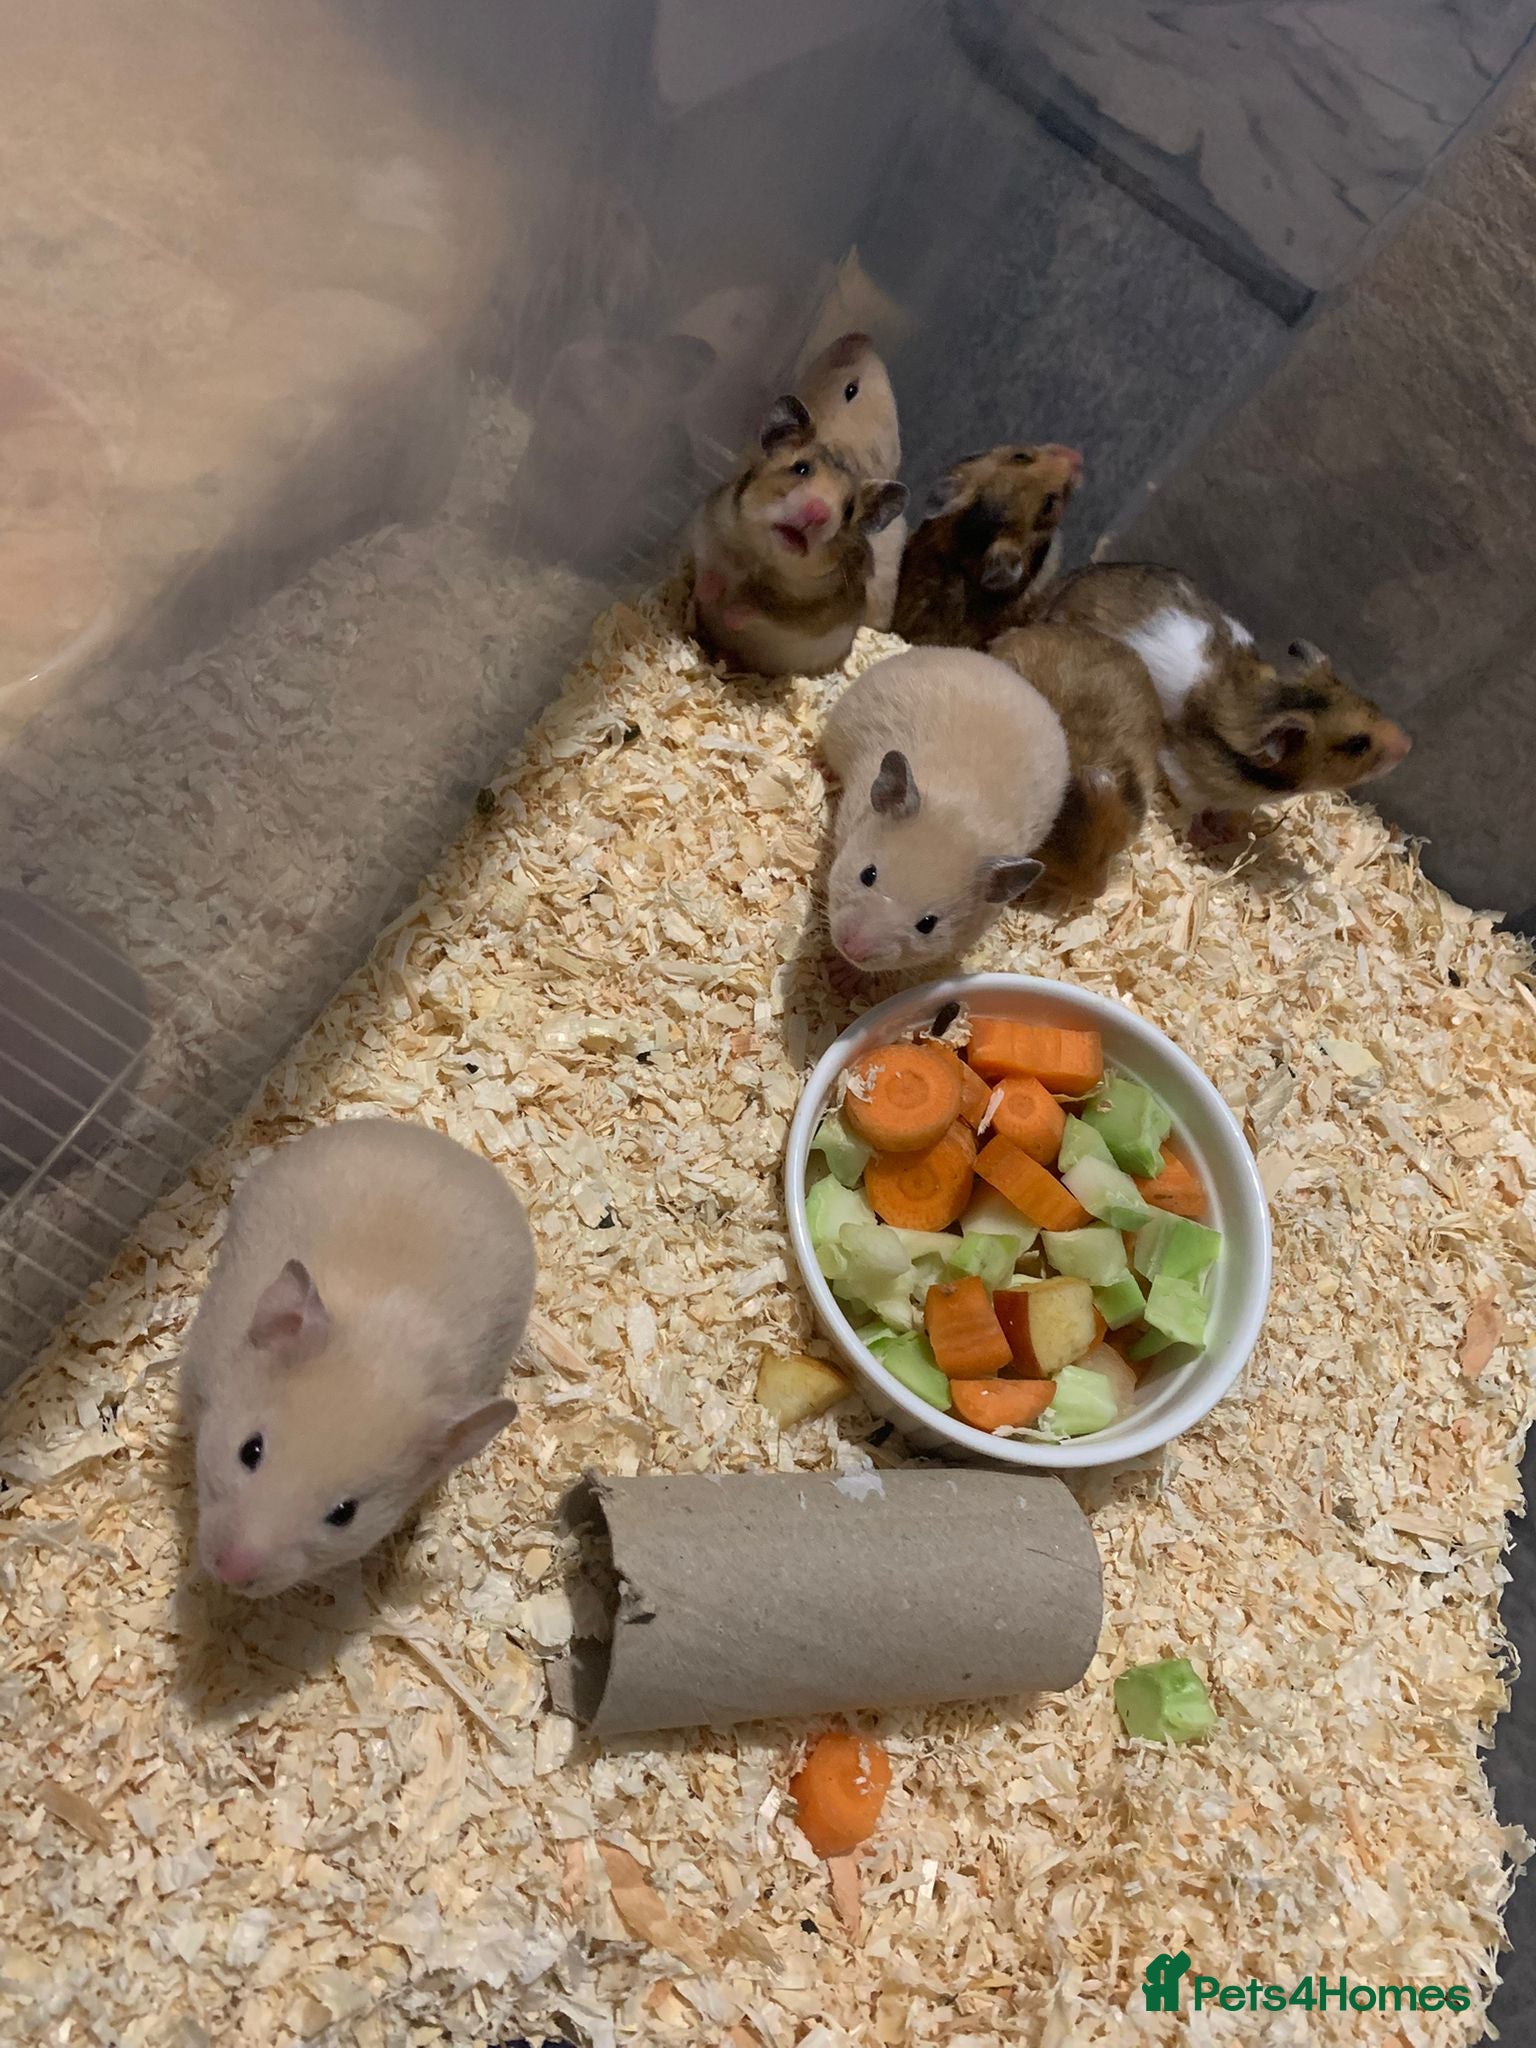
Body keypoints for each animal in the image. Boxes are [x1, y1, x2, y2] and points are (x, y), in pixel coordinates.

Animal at [689, 395, 907, 678]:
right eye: (801, 468)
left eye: (849, 510)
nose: (817, 512)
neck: (763, 557)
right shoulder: (709, 528)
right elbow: (708, 568)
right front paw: (708, 593)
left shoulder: (808, 615)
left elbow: (763, 609)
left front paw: (730, 616)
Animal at [1041, 563, 1413, 841]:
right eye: (1357, 744)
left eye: (1373, 705)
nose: (1408, 745)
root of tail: (1055, 590)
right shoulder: (1183, 777)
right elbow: (1193, 811)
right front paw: (1205, 839)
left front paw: (1229, 832)